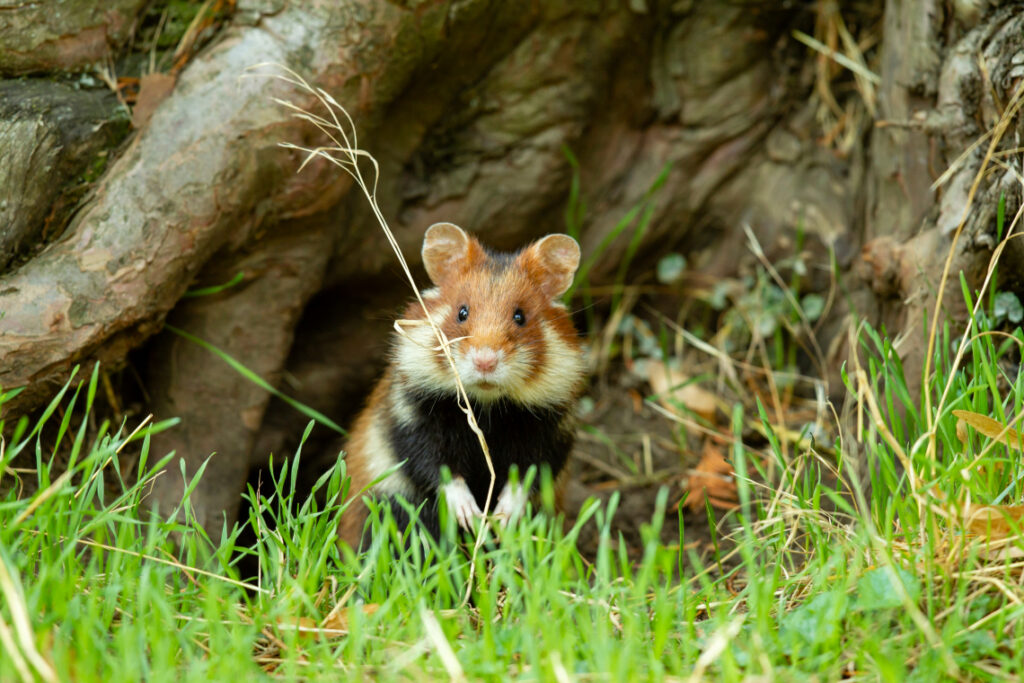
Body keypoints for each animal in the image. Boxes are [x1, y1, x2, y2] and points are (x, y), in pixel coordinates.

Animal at [338, 222, 585, 547]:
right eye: (462, 312)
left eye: (520, 316)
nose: (485, 362)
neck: (487, 405)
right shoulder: (413, 419)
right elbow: (438, 467)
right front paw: (471, 516)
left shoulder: (551, 432)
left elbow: (527, 474)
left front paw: (500, 518)